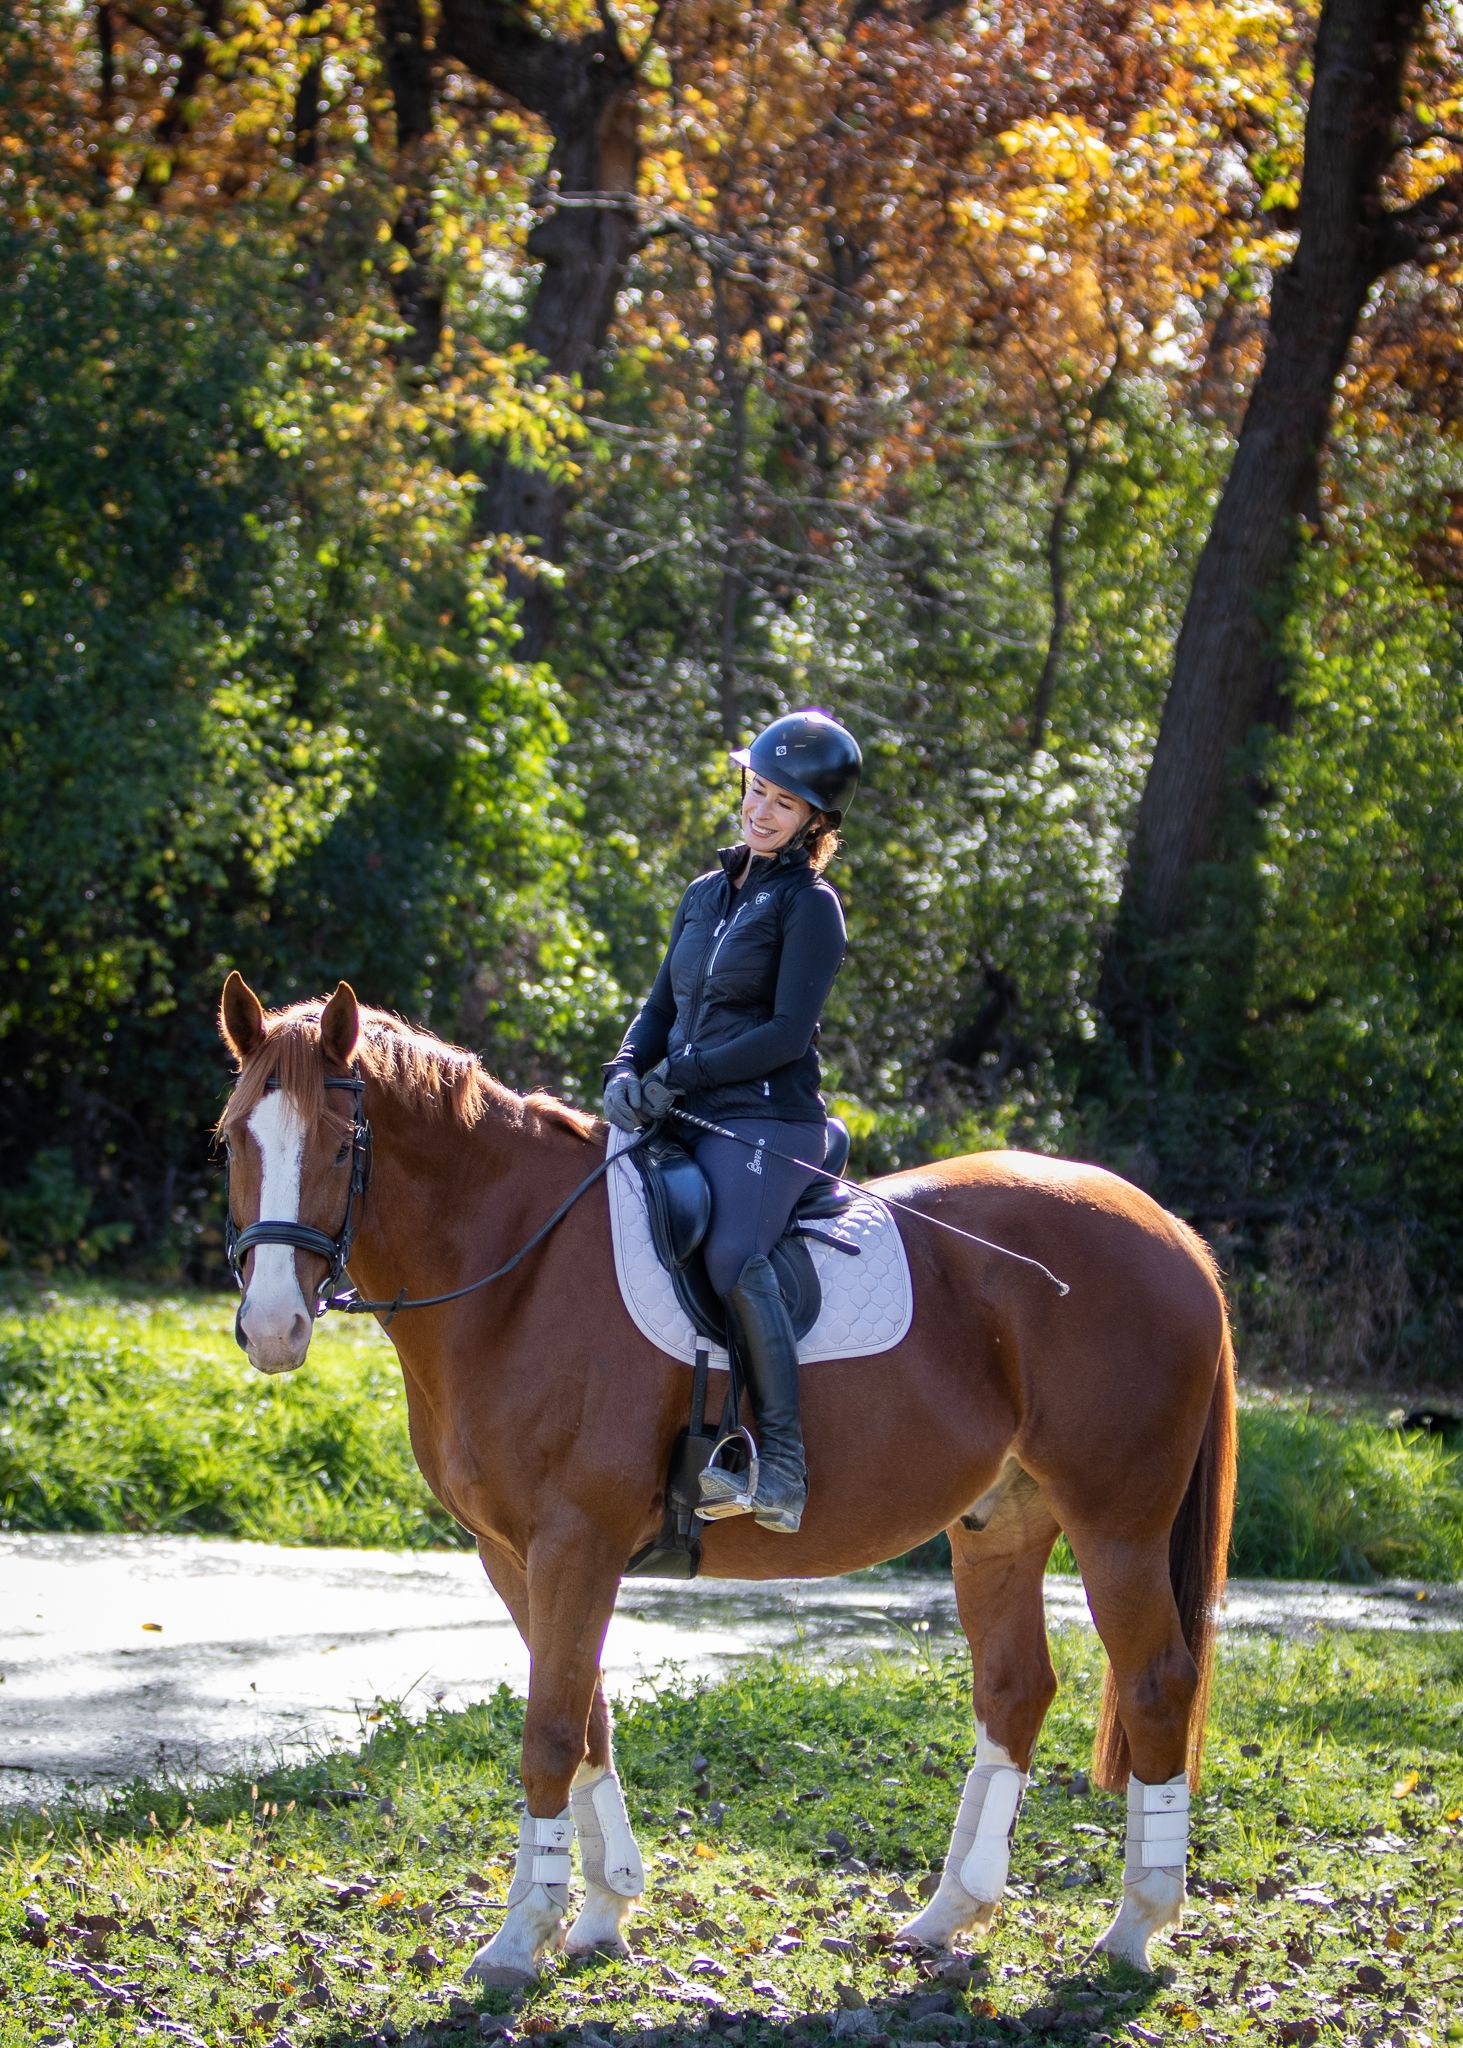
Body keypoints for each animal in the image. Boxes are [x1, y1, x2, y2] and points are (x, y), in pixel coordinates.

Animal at [216, 972, 1235, 1987]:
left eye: (341, 1144)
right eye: (233, 1139)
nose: (270, 1329)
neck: (517, 1273)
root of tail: (1168, 1232)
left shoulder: (574, 1543)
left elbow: (550, 1733)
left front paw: (517, 1940)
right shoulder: (514, 1556)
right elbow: (586, 1721)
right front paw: (600, 1913)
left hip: (1117, 1525)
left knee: (1155, 1684)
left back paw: (1135, 1928)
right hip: (1000, 1525)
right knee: (1014, 1691)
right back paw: (947, 1917)